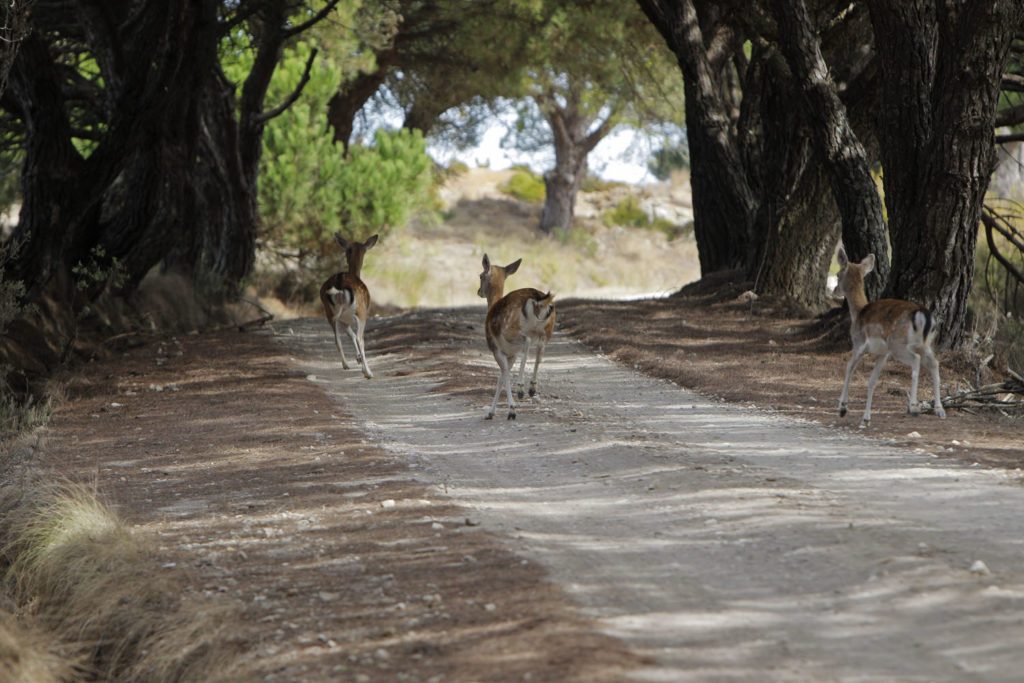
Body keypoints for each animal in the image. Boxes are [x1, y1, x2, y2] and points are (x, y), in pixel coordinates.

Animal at [317, 231, 378, 378]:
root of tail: (340, 286)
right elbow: (355, 337)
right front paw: (361, 363)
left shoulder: (344, 320)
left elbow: (350, 335)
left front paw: (357, 359)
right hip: (361, 312)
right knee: (360, 339)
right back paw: (368, 373)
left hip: (330, 313)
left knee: (337, 339)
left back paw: (346, 365)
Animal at [477, 253, 557, 419]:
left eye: (480, 275)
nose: (479, 291)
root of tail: (537, 300)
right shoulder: (510, 354)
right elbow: (501, 378)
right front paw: (491, 412)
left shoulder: (497, 349)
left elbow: (504, 375)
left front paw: (511, 409)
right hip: (547, 330)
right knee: (540, 353)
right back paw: (532, 387)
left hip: (511, 329)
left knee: (527, 344)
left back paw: (520, 388)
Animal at [831, 245, 942, 428]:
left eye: (838, 275)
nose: (834, 290)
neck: (858, 313)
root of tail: (922, 314)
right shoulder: (882, 354)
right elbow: (872, 380)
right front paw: (866, 418)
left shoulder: (859, 343)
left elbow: (849, 368)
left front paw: (843, 408)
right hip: (925, 344)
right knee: (934, 363)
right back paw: (939, 409)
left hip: (898, 344)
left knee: (916, 360)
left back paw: (914, 406)